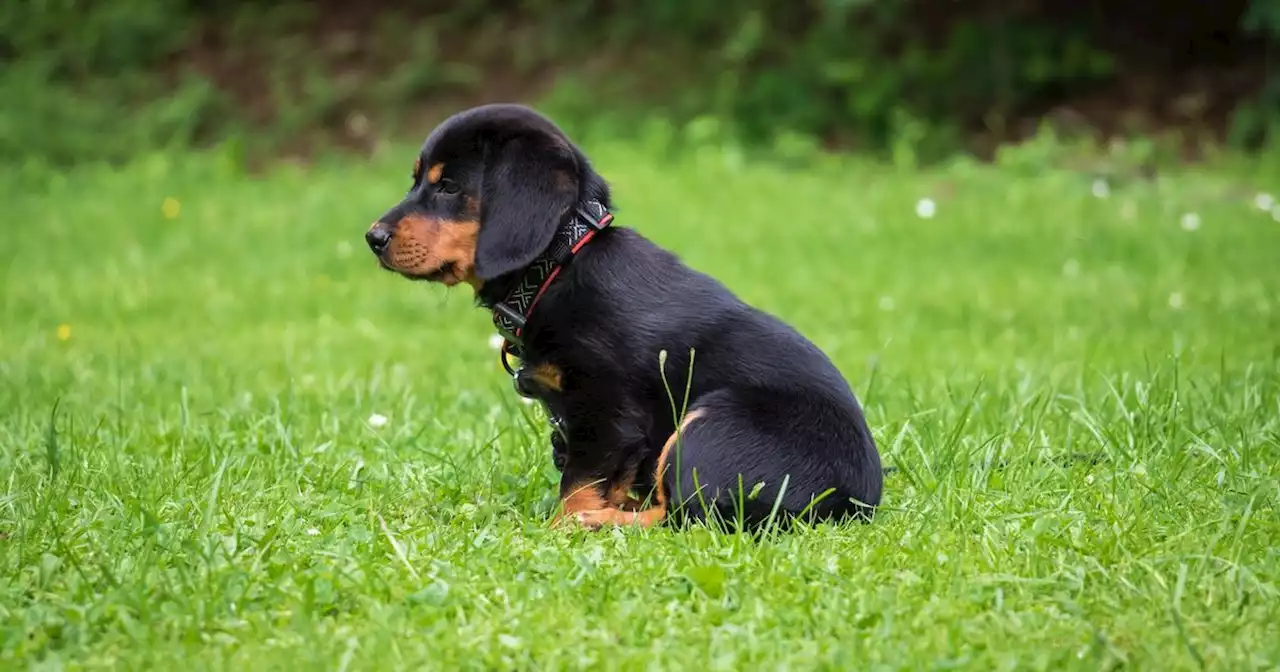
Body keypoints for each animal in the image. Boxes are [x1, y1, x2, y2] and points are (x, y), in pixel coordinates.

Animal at [363, 103, 880, 529]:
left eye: (449, 186)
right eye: (417, 180)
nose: (372, 238)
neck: (560, 263)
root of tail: (854, 504)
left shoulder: (606, 411)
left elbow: (578, 485)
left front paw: (563, 525)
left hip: (709, 425)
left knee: (687, 515)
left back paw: (597, 523)